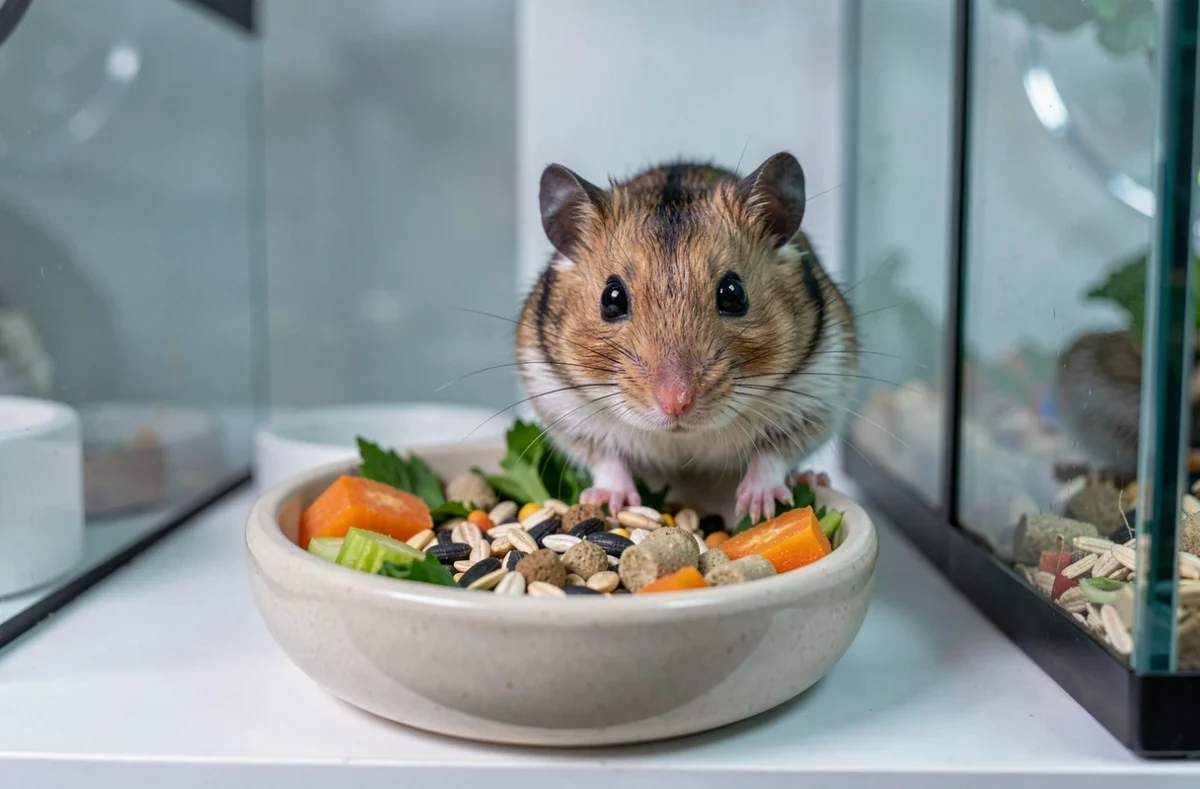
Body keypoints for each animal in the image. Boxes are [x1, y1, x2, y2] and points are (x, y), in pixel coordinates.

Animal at [515, 152, 857, 523]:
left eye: (733, 294)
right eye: (611, 298)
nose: (676, 404)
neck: (683, 437)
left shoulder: (816, 395)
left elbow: (771, 454)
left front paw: (759, 508)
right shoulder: (565, 409)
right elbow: (607, 457)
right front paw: (609, 501)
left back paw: (811, 477)